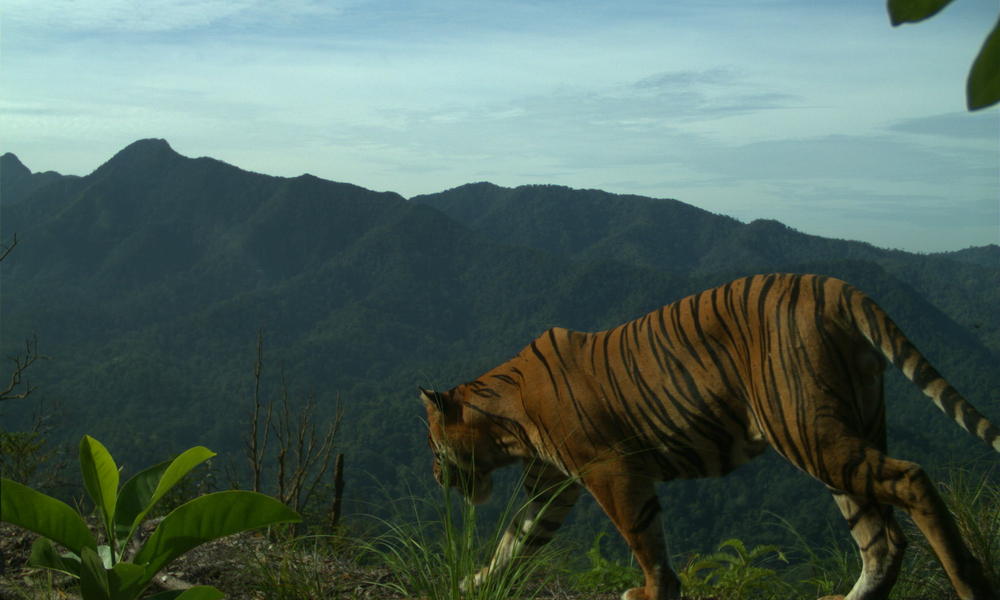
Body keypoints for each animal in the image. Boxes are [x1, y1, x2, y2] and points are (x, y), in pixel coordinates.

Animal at [418, 274, 996, 600]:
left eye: (431, 446)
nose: (435, 475)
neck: (507, 426)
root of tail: (836, 286)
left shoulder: (610, 470)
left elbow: (643, 537)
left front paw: (653, 592)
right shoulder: (552, 486)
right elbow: (515, 540)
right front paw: (476, 584)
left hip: (807, 430)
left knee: (912, 482)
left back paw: (970, 583)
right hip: (844, 435)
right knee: (882, 538)